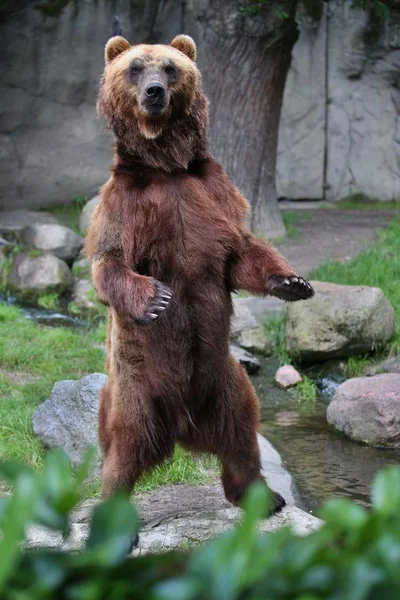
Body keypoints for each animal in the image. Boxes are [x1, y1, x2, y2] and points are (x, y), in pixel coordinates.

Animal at [86, 32, 314, 512]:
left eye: (170, 67)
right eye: (135, 67)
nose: (154, 92)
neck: (166, 167)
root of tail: (180, 427)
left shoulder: (213, 193)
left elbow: (241, 254)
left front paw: (293, 282)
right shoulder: (125, 204)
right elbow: (110, 261)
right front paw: (156, 298)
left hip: (224, 379)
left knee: (243, 433)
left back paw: (262, 496)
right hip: (135, 387)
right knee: (124, 443)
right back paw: (112, 502)